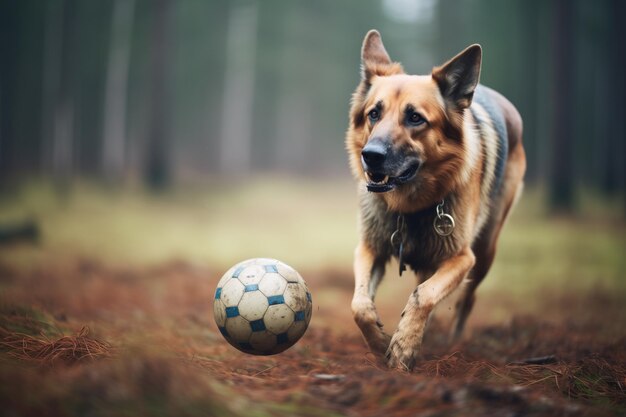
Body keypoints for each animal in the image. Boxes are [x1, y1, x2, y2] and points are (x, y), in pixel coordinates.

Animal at [344, 30, 524, 368]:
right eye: (374, 113)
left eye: (415, 118)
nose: (370, 156)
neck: (409, 207)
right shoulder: (370, 249)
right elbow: (359, 306)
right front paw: (381, 342)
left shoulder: (462, 258)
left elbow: (423, 295)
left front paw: (403, 347)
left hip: (485, 251)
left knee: (466, 299)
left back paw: (451, 340)